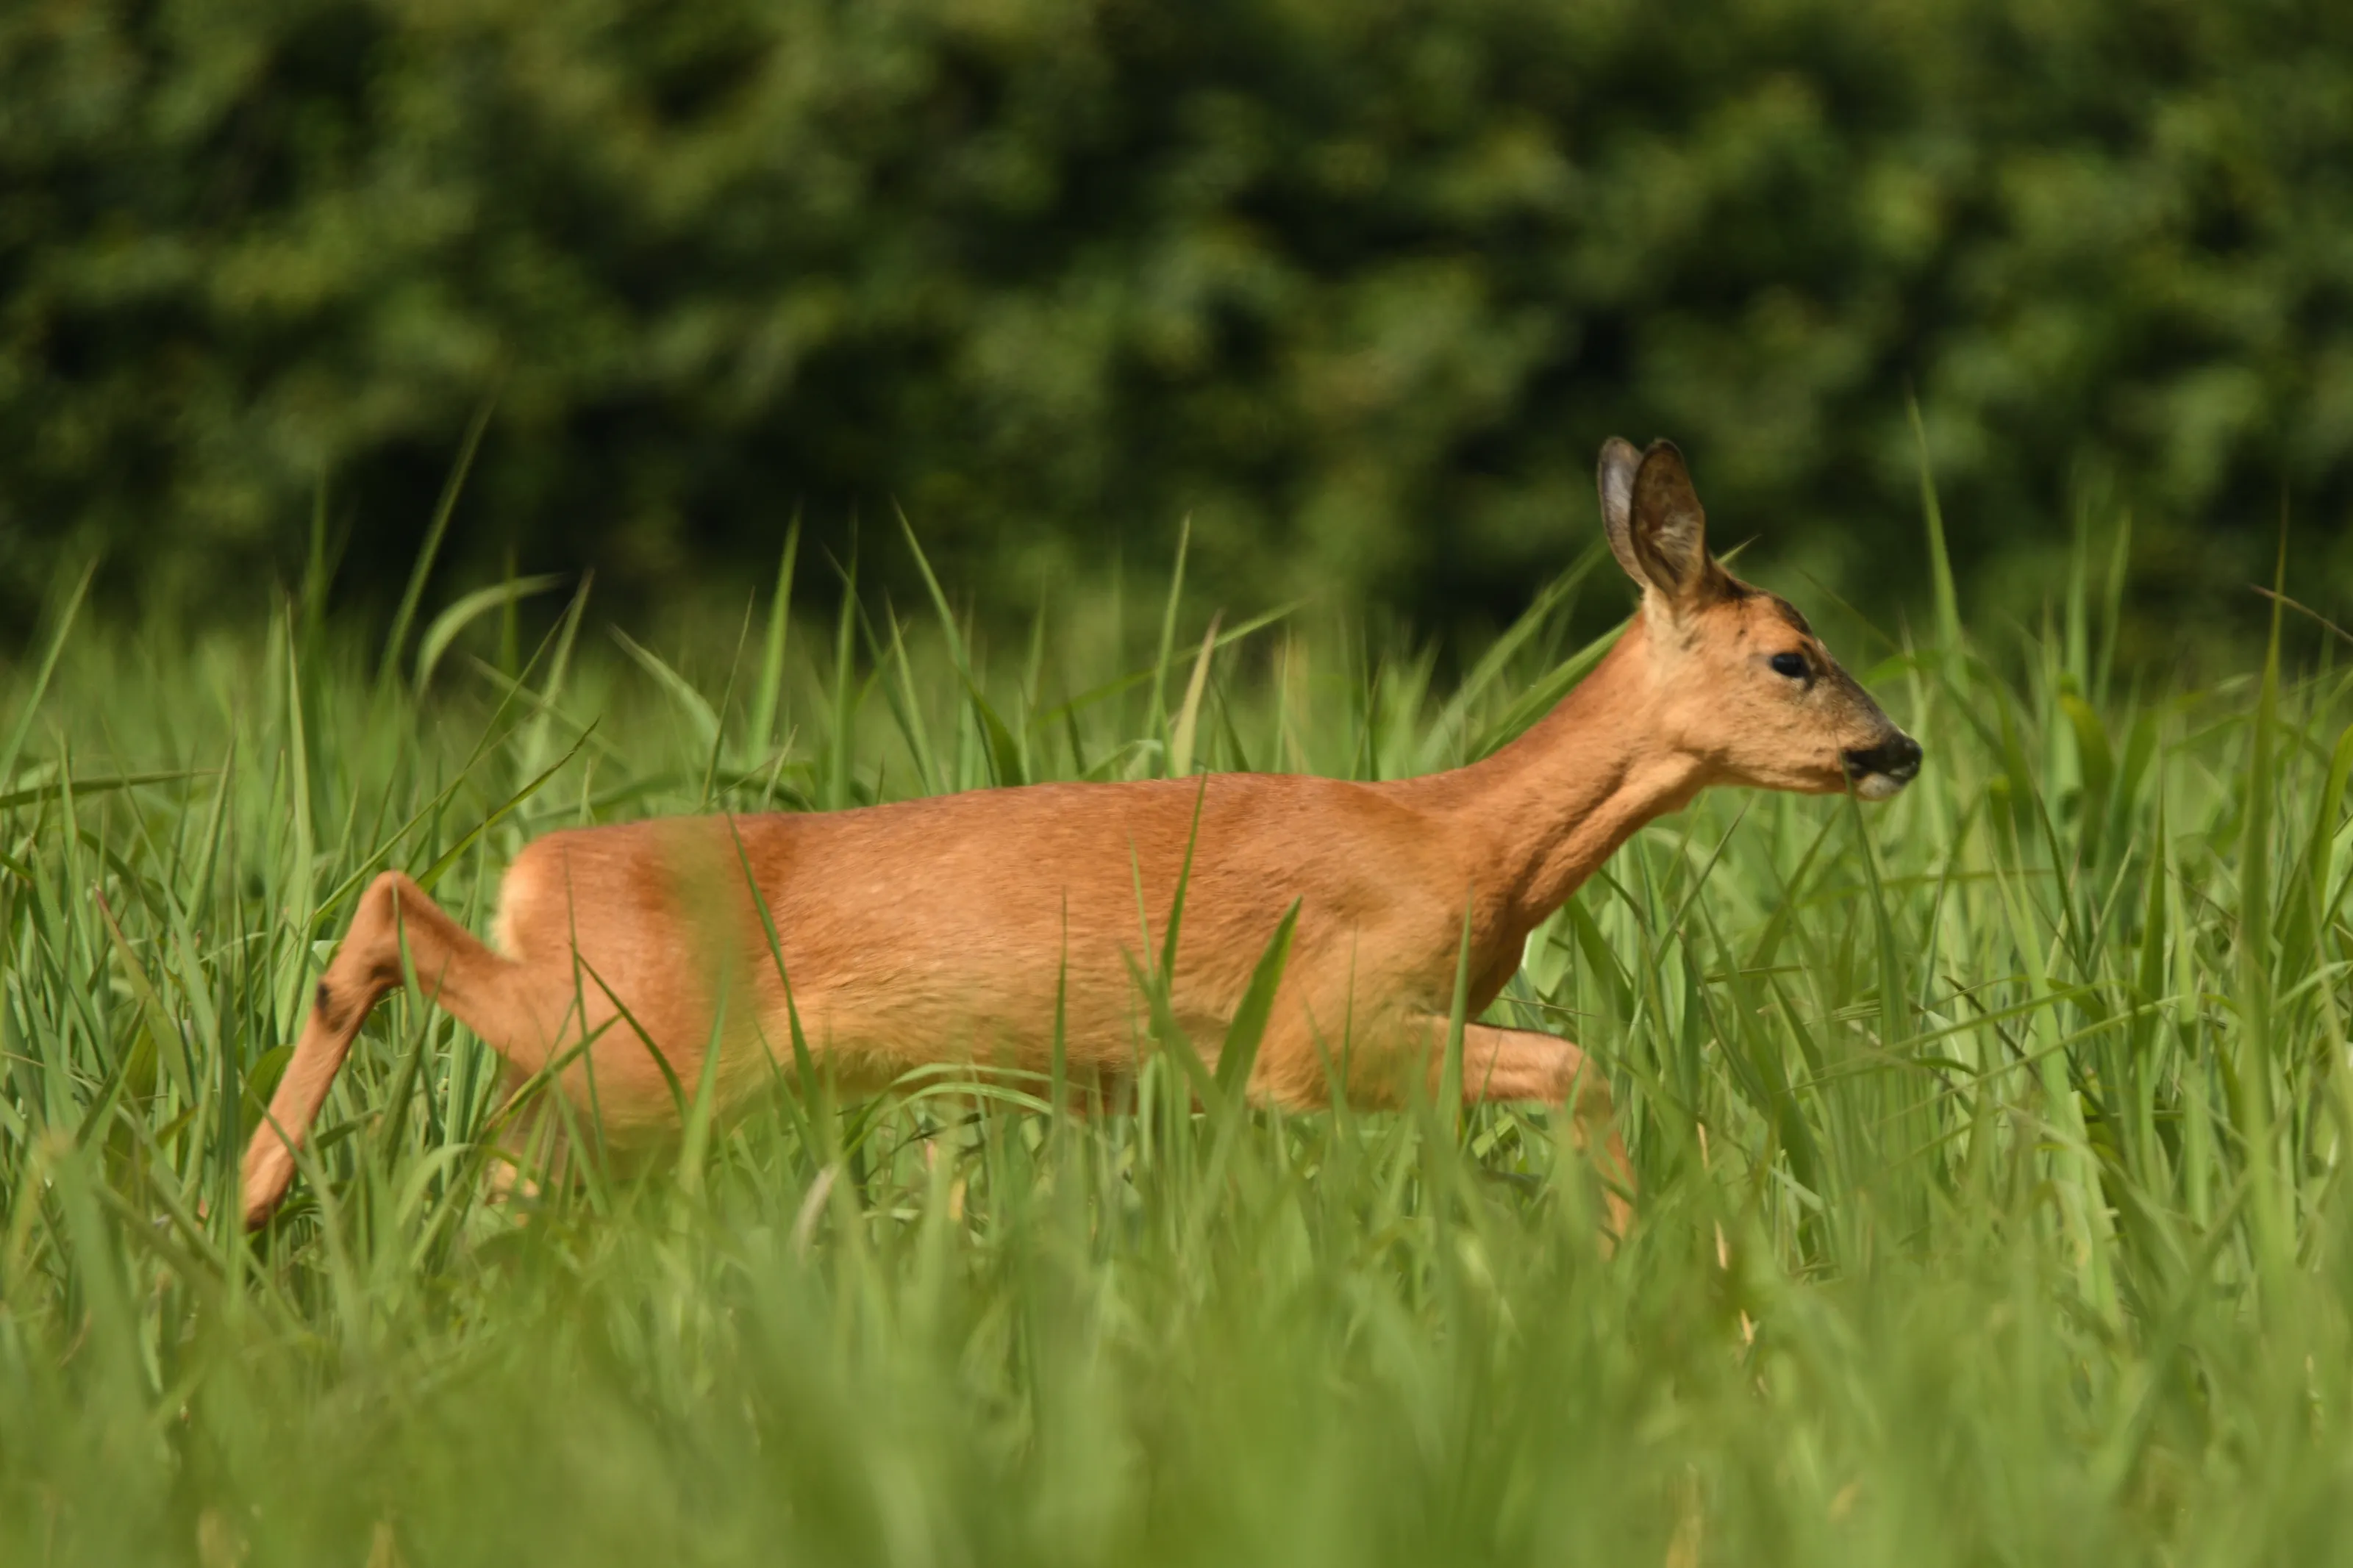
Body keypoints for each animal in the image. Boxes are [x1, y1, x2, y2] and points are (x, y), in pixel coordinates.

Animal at [238, 438, 1921, 1233]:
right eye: (1795, 656)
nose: (1896, 747)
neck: (1463, 847)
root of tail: (539, 868)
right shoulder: (1326, 1026)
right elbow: (1581, 1065)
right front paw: (1648, 1249)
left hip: (615, 1081)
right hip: (644, 1043)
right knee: (388, 909)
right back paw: (246, 1197)